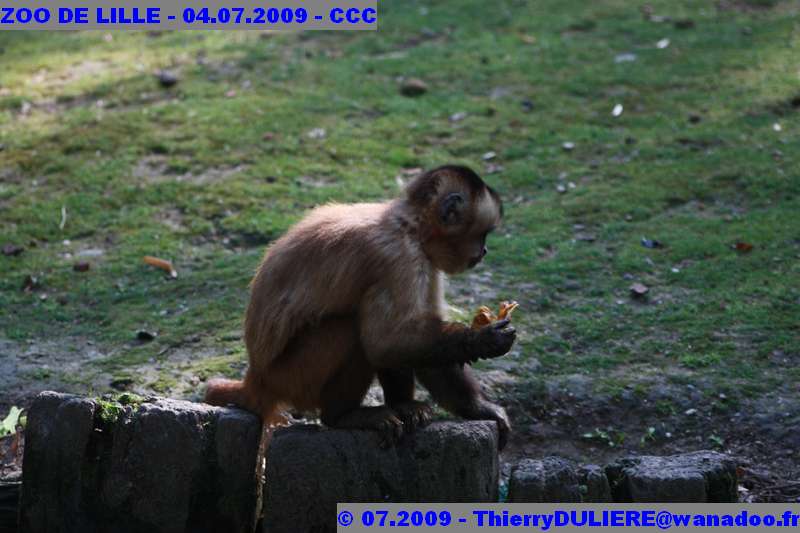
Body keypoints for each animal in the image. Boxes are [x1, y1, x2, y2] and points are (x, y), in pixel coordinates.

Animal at [206, 164, 516, 446]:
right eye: (483, 234)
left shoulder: (426, 260)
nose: (485, 250)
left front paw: (480, 408)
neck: (410, 226)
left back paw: (402, 407)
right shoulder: (399, 256)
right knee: (353, 329)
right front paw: (482, 339)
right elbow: (384, 343)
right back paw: (342, 416)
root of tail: (256, 378)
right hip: (291, 376)